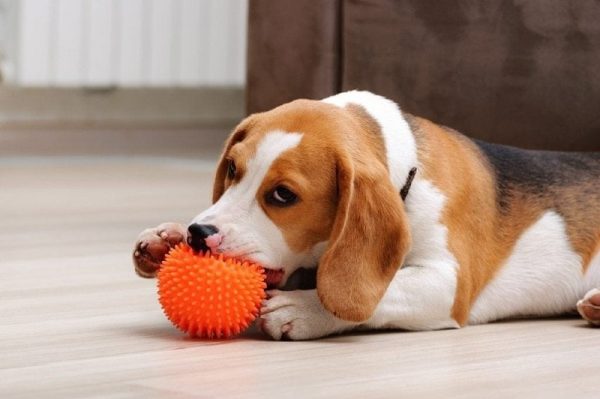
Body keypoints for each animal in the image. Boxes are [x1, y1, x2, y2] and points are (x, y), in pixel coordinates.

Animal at [132, 90, 600, 340]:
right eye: (232, 168)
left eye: (283, 195)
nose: (199, 233)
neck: (408, 167)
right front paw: (165, 238)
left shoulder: (448, 283)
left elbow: (378, 291)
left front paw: (303, 310)